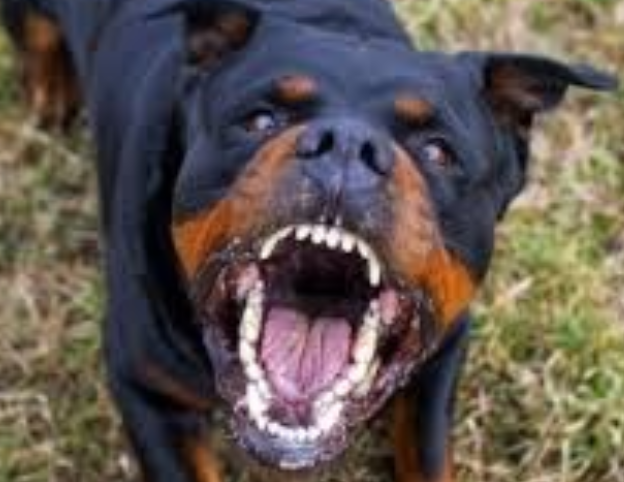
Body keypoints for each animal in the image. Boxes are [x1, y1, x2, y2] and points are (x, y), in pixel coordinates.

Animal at [1, 0, 617, 480]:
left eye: (439, 151)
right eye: (260, 119)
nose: (346, 143)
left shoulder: (443, 350)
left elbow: (429, 458)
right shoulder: (144, 386)